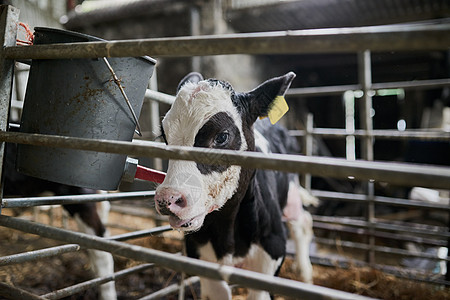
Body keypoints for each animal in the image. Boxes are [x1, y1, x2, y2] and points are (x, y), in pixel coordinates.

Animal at [155, 71, 316, 298]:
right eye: (165, 136)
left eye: (222, 136)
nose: (168, 198)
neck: (228, 233)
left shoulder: (271, 254)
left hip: (291, 193)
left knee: (302, 222)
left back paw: (306, 275)